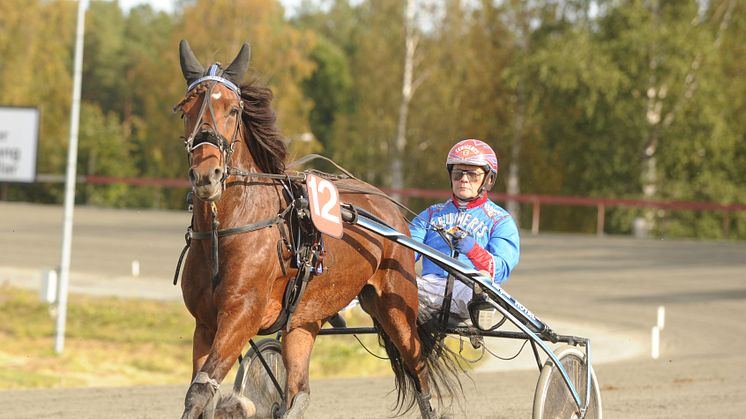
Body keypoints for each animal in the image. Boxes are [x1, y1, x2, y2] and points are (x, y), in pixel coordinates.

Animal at [173, 40, 460, 419]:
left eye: (233, 110)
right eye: (185, 110)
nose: (207, 175)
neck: (225, 233)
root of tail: (387, 205)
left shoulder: (240, 317)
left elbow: (200, 391)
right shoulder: (205, 324)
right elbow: (202, 394)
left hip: (397, 304)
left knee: (418, 369)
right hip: (304, 320)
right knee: (298, 394)